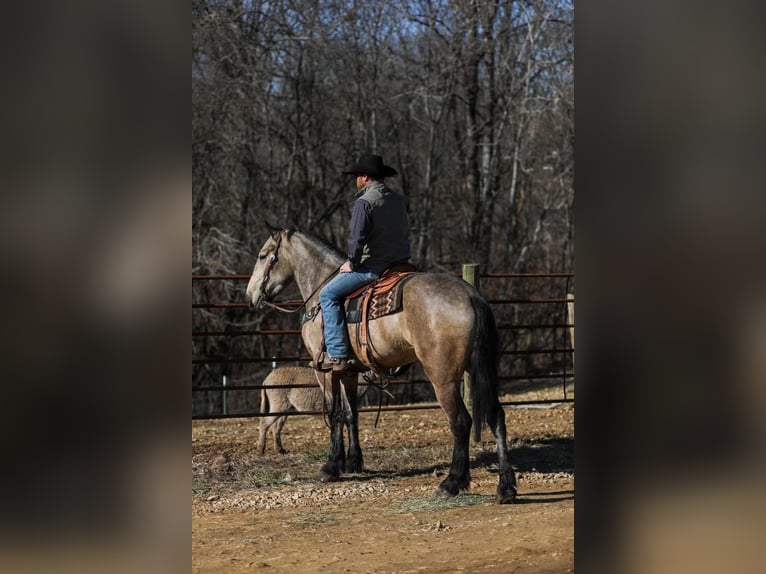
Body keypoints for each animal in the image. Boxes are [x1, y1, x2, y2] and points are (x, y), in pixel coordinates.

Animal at [249, 225, 520, 504]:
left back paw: (452, 482)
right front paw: (353, 462)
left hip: (443, 378)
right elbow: (351, 414)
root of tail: (470, 295)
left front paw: (331, 467)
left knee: (461, 422)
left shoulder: (325, 372)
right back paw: (505, 487)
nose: (252, 294)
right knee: (496, 416)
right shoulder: (348, 371)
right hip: (477, 370)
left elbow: (335, 414)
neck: (320, 287)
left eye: (262, 255)